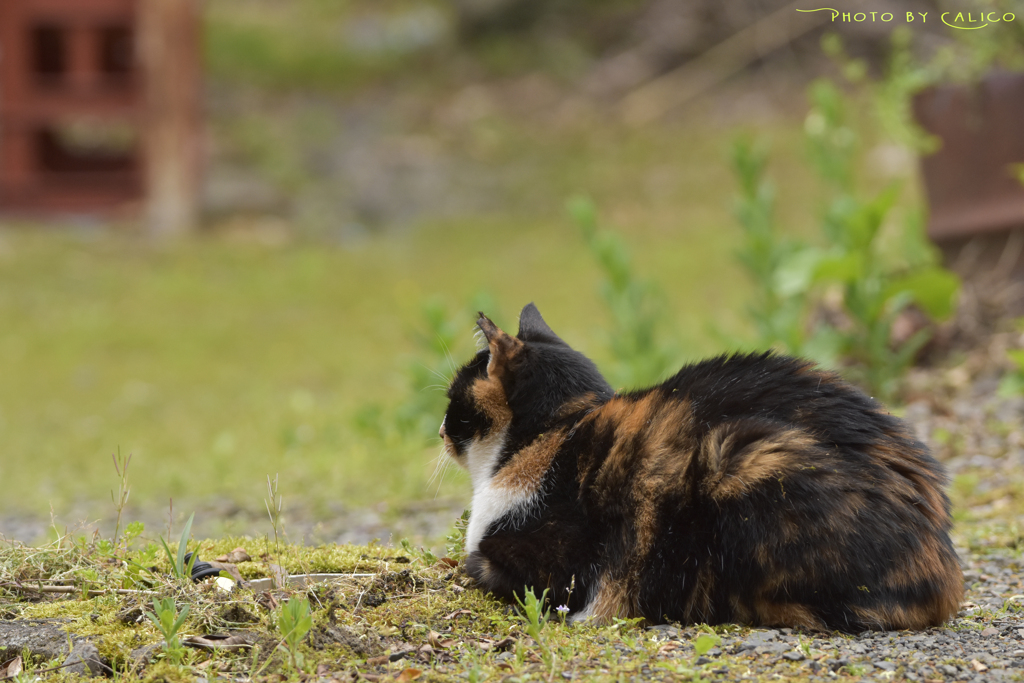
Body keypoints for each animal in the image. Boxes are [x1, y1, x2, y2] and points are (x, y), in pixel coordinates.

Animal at [438, 301, 958, 634]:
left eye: (453, 400)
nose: (440, 430)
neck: (557, 432)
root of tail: (944, 572)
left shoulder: (544, 564)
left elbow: (478, 564)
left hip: (742, 457)